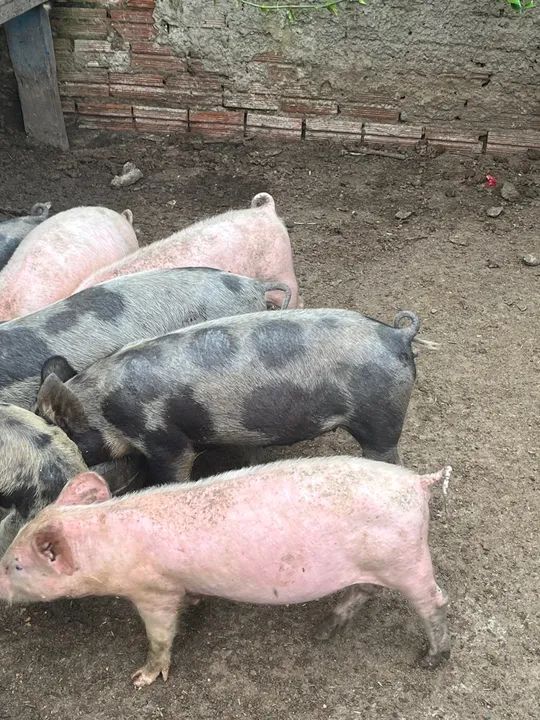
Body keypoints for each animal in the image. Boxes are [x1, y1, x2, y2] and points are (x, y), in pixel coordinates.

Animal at [0, 457, 452, 686]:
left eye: (16, 563)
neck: (107, 545)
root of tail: (418, 482)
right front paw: (199, 601)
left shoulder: (153, 589)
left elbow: (160, 634)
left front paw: (142, 679)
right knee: (367, 591)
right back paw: (323, 630)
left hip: (407, 559)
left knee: (435, 602)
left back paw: (431, 660)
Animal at [36, 308, 433, 478]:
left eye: (67, 434)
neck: (104, 406)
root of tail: (397, 335)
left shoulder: (163, 437)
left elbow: (174, 468)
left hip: (380, 416)